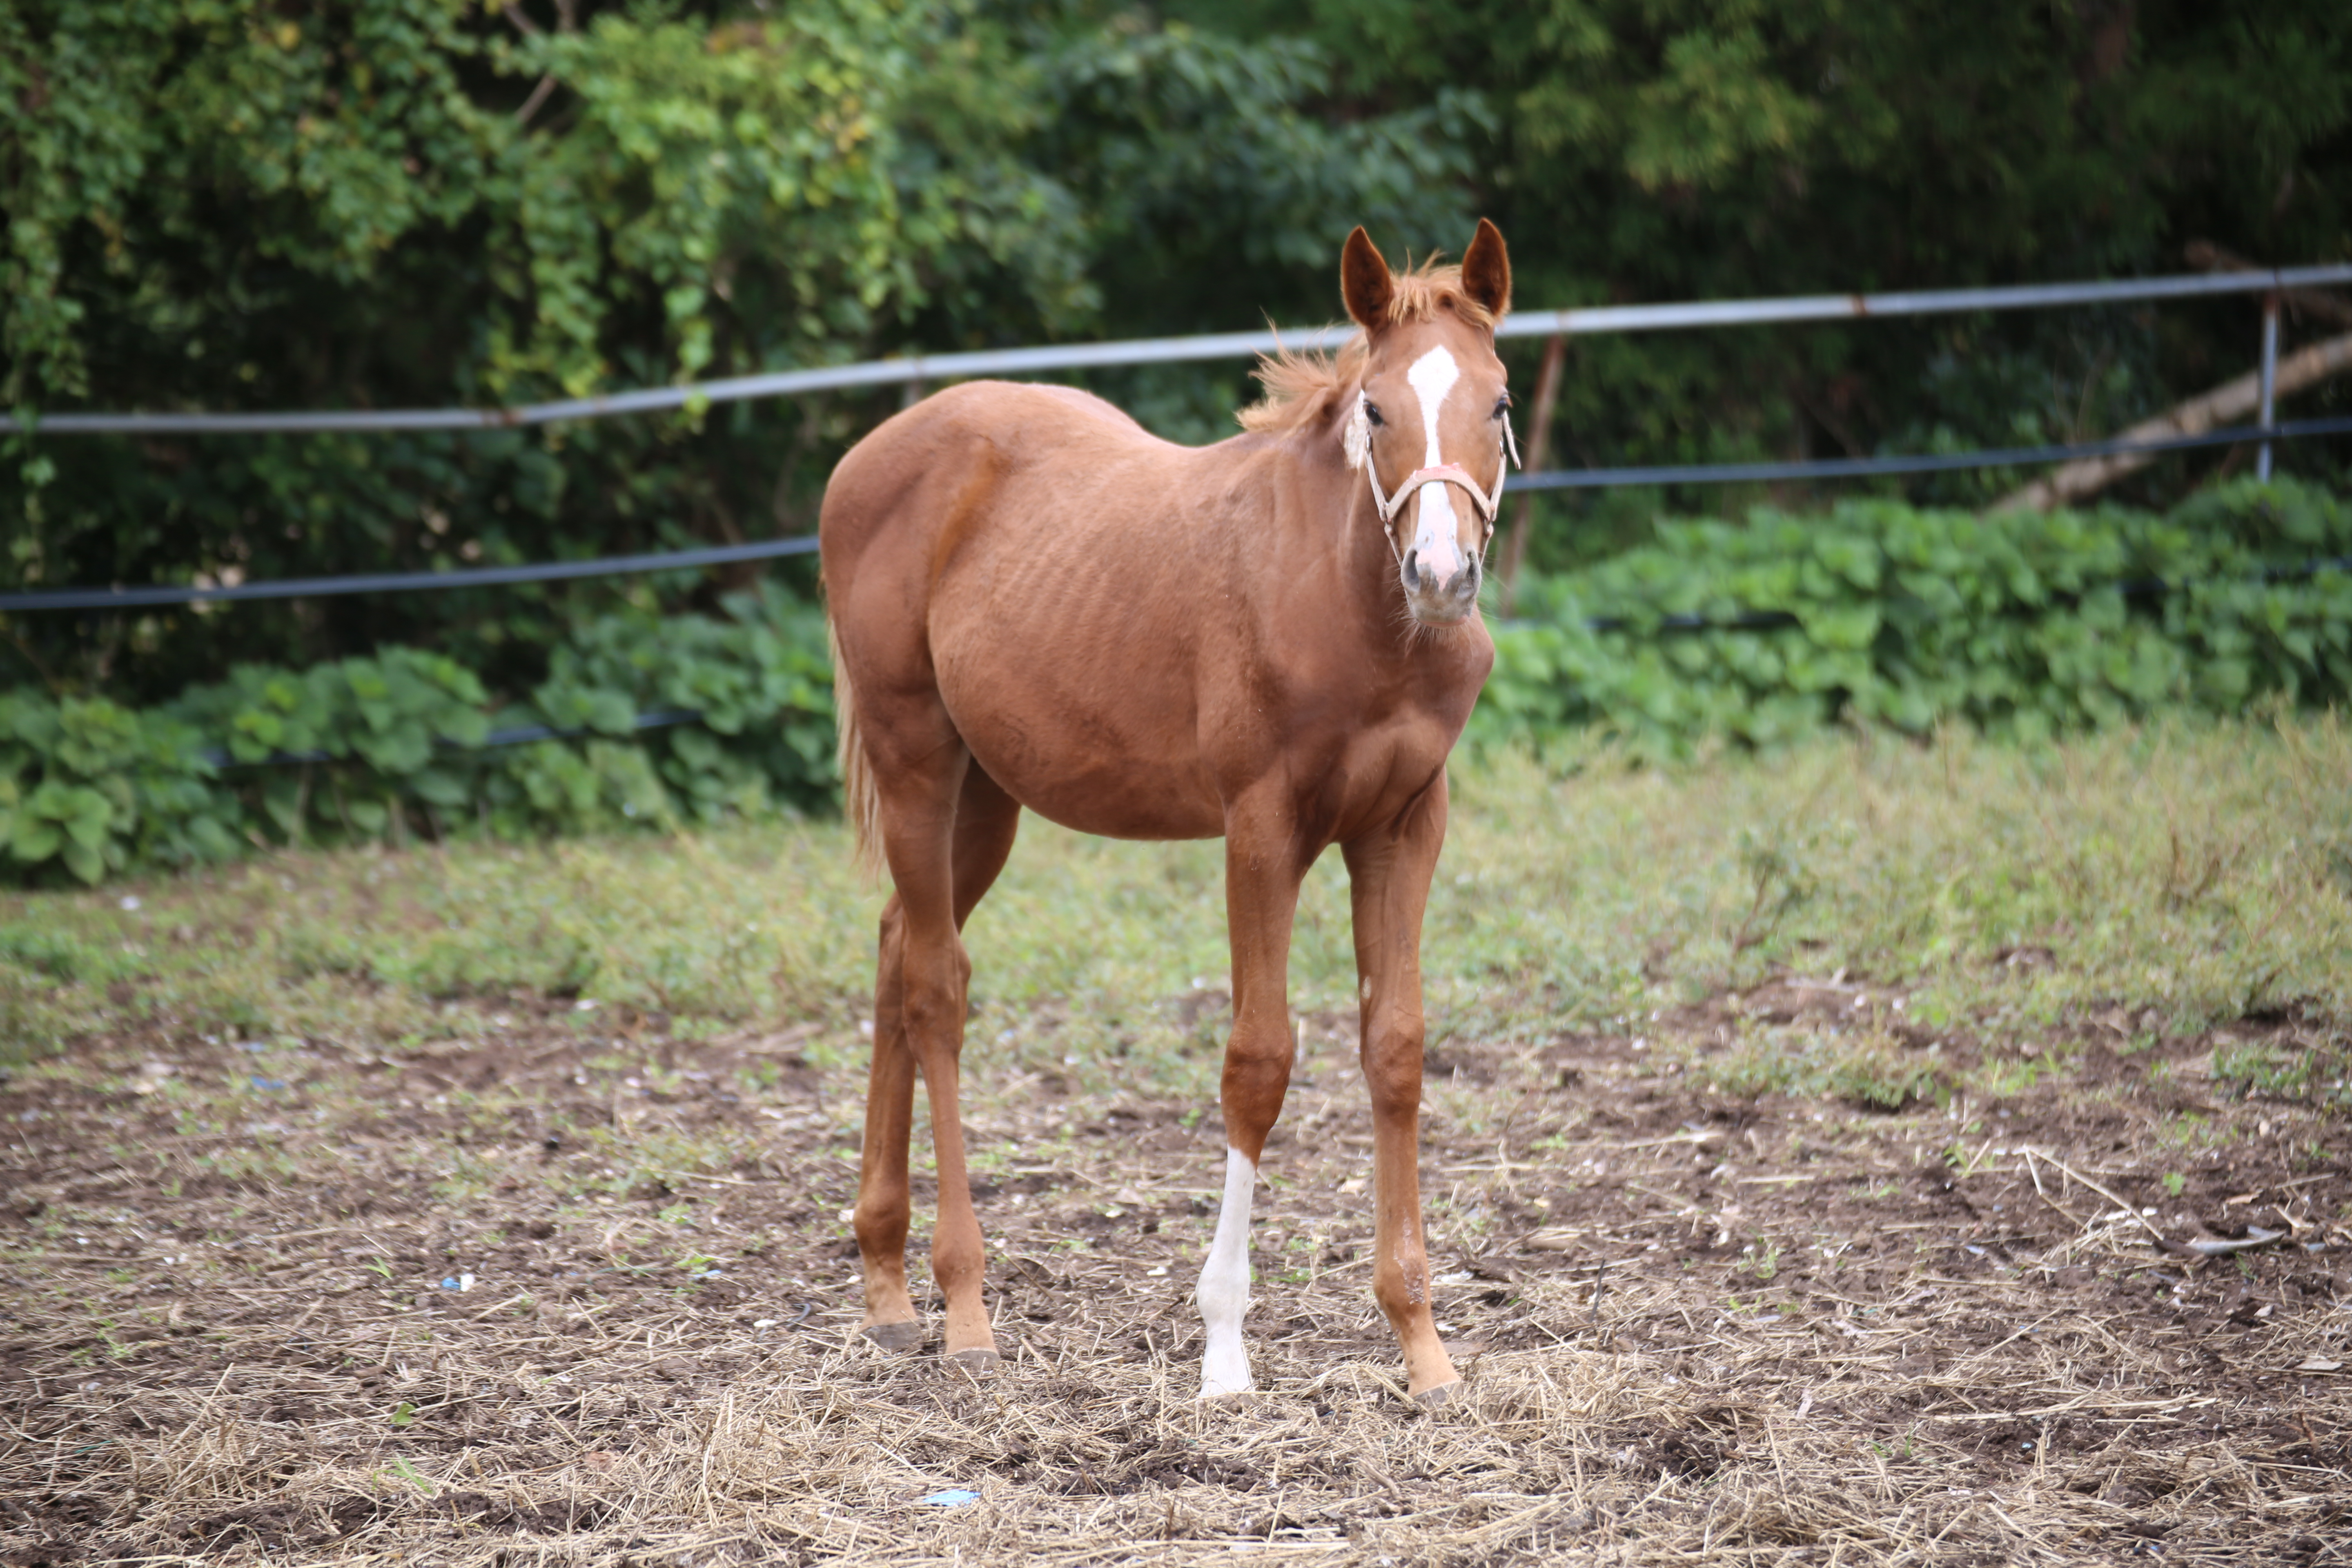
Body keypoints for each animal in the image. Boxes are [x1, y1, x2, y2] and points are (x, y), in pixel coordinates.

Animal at [818, 221, 1515, 1410]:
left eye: (1501, 402)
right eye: (1376, 410)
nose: (1440, 572)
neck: (1352, 610)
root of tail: (866, 456)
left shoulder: (1404, 824)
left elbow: (1396, 1048)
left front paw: (1423, 1346)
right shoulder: (1261, 829)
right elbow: (1258, 1063)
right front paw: (1224, 1350)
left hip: (987, 795)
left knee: (897, 948)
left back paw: (884, 1286)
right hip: (915, 760)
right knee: (935, 988)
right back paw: (963, 1308)